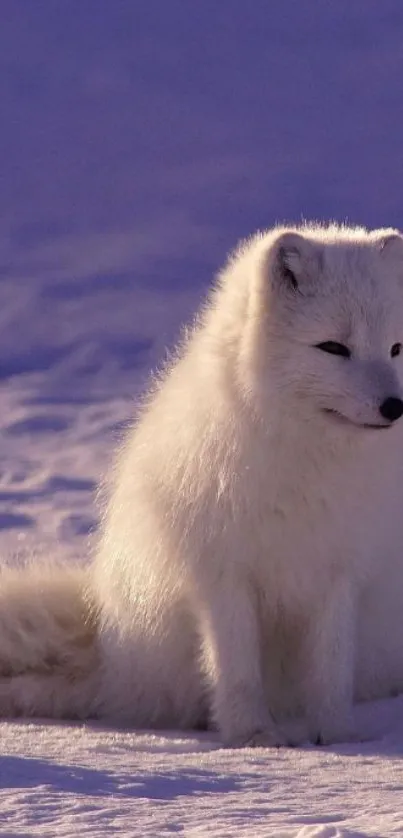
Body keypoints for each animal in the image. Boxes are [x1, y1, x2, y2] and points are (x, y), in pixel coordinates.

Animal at [2, 225, 403, 748]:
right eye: (333, 348)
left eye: (396, 348)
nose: (395, 406)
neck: (306, 460)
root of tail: (109, 651)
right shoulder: (222, 574)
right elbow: (236, 669)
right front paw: (253, 735)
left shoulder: (338, 573)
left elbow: (331, 668)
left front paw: (336, 736)